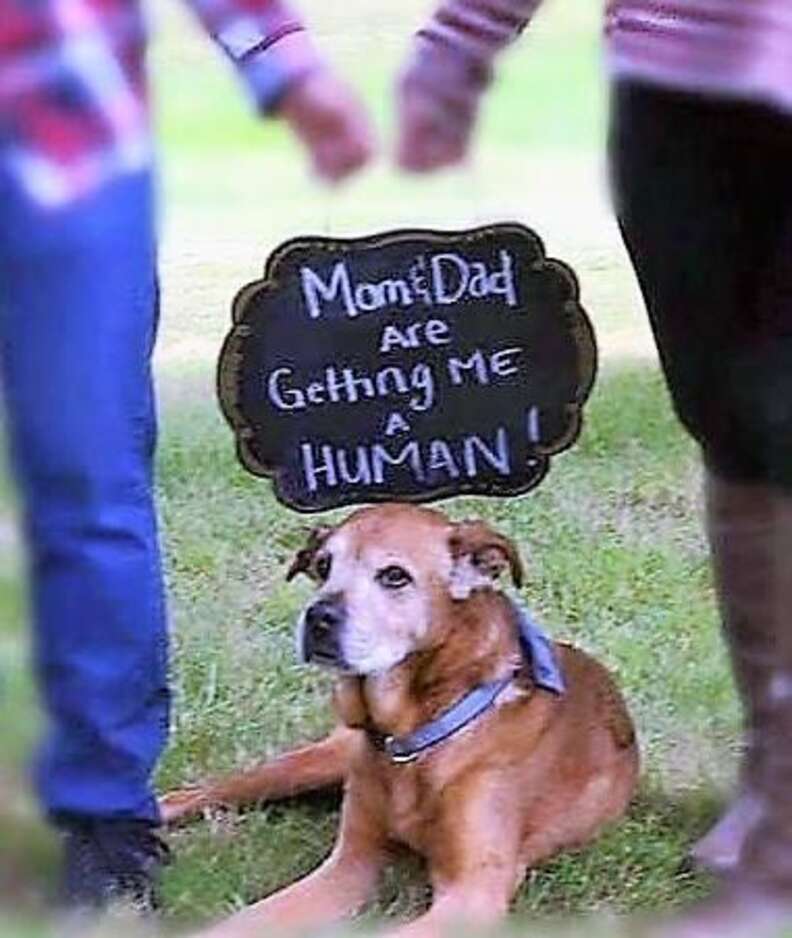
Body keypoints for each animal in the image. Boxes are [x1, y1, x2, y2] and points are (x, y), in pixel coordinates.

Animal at [161, 504, 636, 936]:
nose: (317, 617)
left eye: (394, 576)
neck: (418, 733)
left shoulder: (473, 891)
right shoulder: (349, 863)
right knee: (212, 791)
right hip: (313, 763)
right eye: (323, 565)